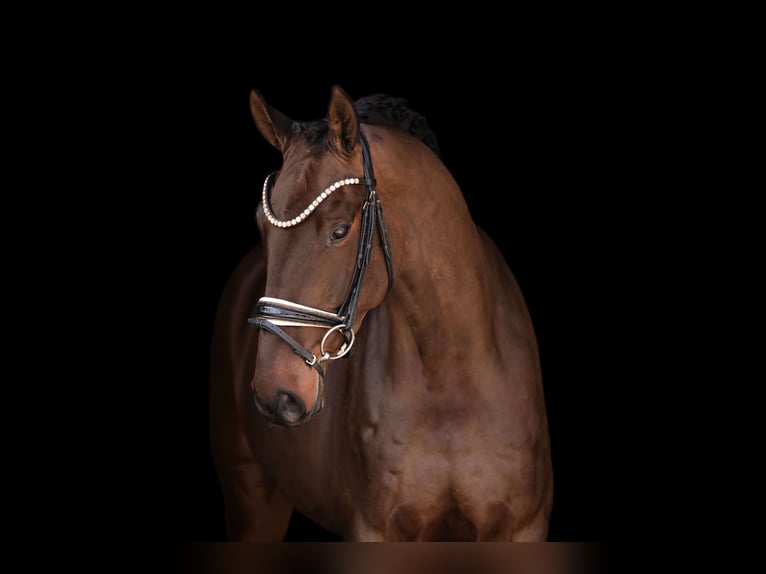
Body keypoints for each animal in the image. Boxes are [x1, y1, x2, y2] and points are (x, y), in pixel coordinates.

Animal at [210, 85, 554, 541]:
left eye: (340, 231)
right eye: (262, 229)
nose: (275, 394)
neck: (451, 381)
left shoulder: (523, 528)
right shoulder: (374, 530)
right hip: (251, 495)